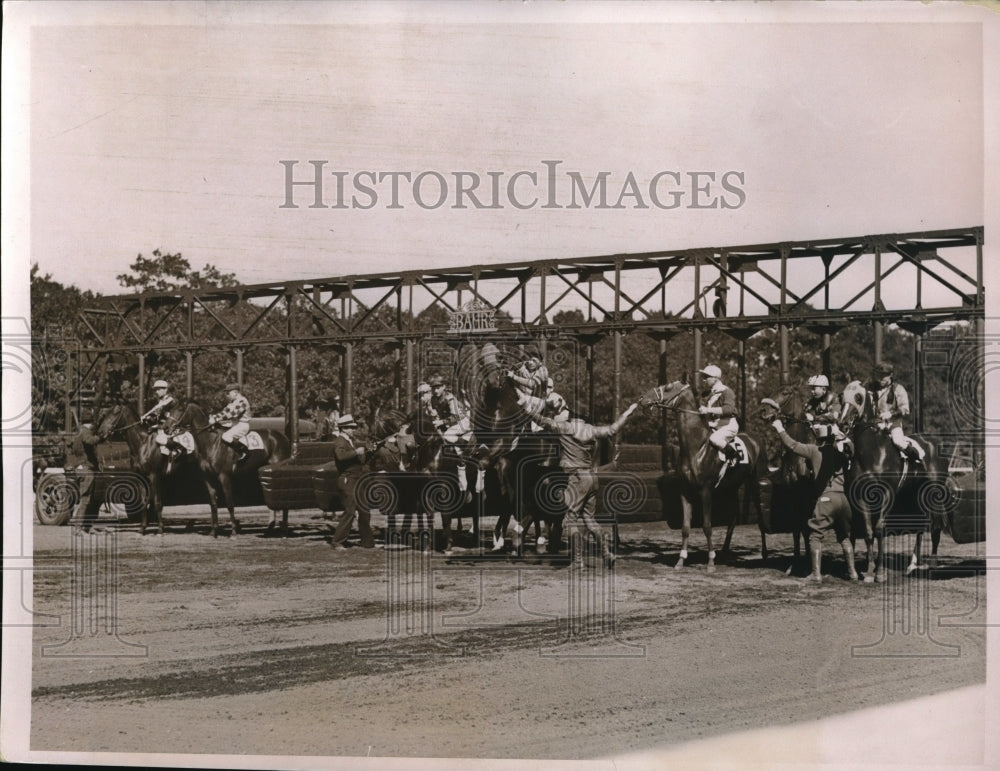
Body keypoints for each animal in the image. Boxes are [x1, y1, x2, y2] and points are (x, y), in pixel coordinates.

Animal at [166, 404, 292, 536]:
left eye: (180, 410)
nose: (166, 428)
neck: (211, 442)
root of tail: (283, 437)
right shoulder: (208, 478)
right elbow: (213, 503)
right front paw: (213, 531)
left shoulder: (224, 477)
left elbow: (229, 502)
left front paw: (233, 531)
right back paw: (270, 529)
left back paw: (284, 530)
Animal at [640, 380, 764, 572]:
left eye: (667, 387)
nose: (642, 399)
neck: (696, 447)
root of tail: (754, 438)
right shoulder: (685, 491)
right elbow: (685, 527)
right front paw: (681, 560)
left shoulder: (706, 491)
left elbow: (707, 526)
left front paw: (710, 562)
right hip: (731, 487)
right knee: (733, 517)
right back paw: (725, 551)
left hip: (753, 482)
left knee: (760, 518)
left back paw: (762, 553)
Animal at [840, 380, 948, 584]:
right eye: (841, 396)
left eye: (858, 397)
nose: (842, 423)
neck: (872, 453)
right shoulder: (860, 496)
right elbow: (868, 532)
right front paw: (869, 572)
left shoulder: (887, 493)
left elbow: (880, 529)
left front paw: (880, 573)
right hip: (915, 496)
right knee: (921, 527)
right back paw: (912, 565)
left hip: (934, 495)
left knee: (936, 526)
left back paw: (933, 563)